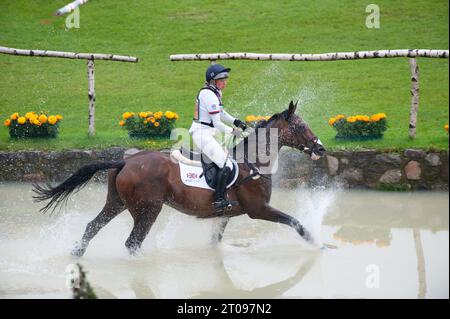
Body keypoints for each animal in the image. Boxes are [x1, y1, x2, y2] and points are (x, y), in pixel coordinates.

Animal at [33, 102, 326, 258]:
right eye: (301, 127)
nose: (321, 149)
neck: (251, 162)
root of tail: (125, 161)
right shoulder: (258, 209)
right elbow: (296, 223)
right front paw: (318, 244)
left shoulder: (227, 214)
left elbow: (215, 240)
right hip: (148, 209)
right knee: (132, 243)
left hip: (117, 203)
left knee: (92, 227)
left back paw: (76, 254)